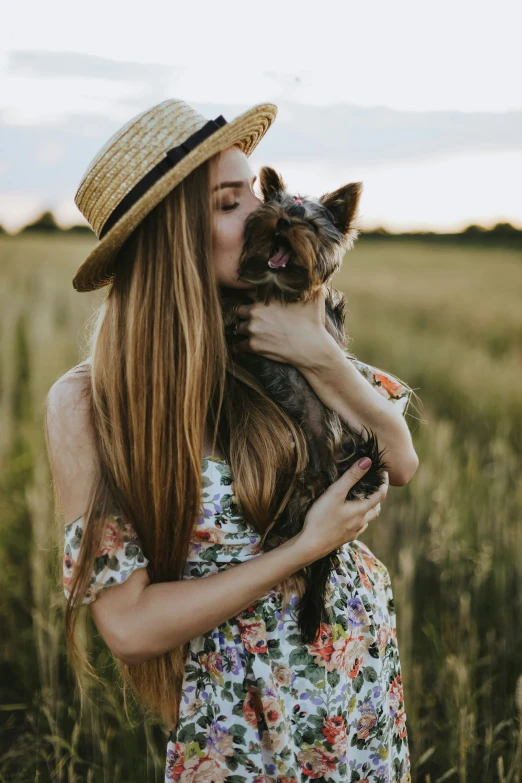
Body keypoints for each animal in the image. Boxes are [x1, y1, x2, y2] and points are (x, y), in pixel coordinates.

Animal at [219, 167, 386, 644]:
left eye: (307, 225)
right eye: (274, 211)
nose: (281, 225)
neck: (276, 290)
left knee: (321, 557)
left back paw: (312, 610)